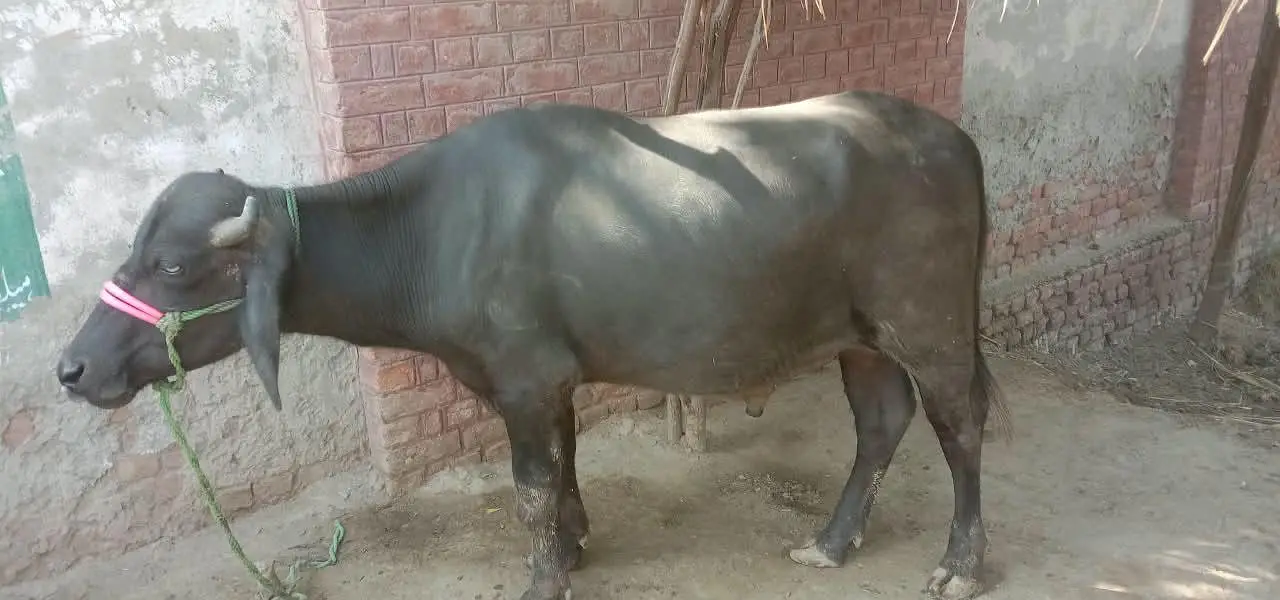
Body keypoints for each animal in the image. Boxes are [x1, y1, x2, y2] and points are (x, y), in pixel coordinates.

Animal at [57, 90, 1010, 600]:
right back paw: (835, 540)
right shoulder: (547, 382)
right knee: (881, 422)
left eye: (172, 264)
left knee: (962, 426)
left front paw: (543, 572)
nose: (73, 367)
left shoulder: (523, 377)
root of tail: (951, 136)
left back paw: (960, 564)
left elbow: (528, 488)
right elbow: (566, 460)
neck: (431, 231)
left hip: (929, 322)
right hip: (862, 336)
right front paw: (575, 542)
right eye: (132, 251)